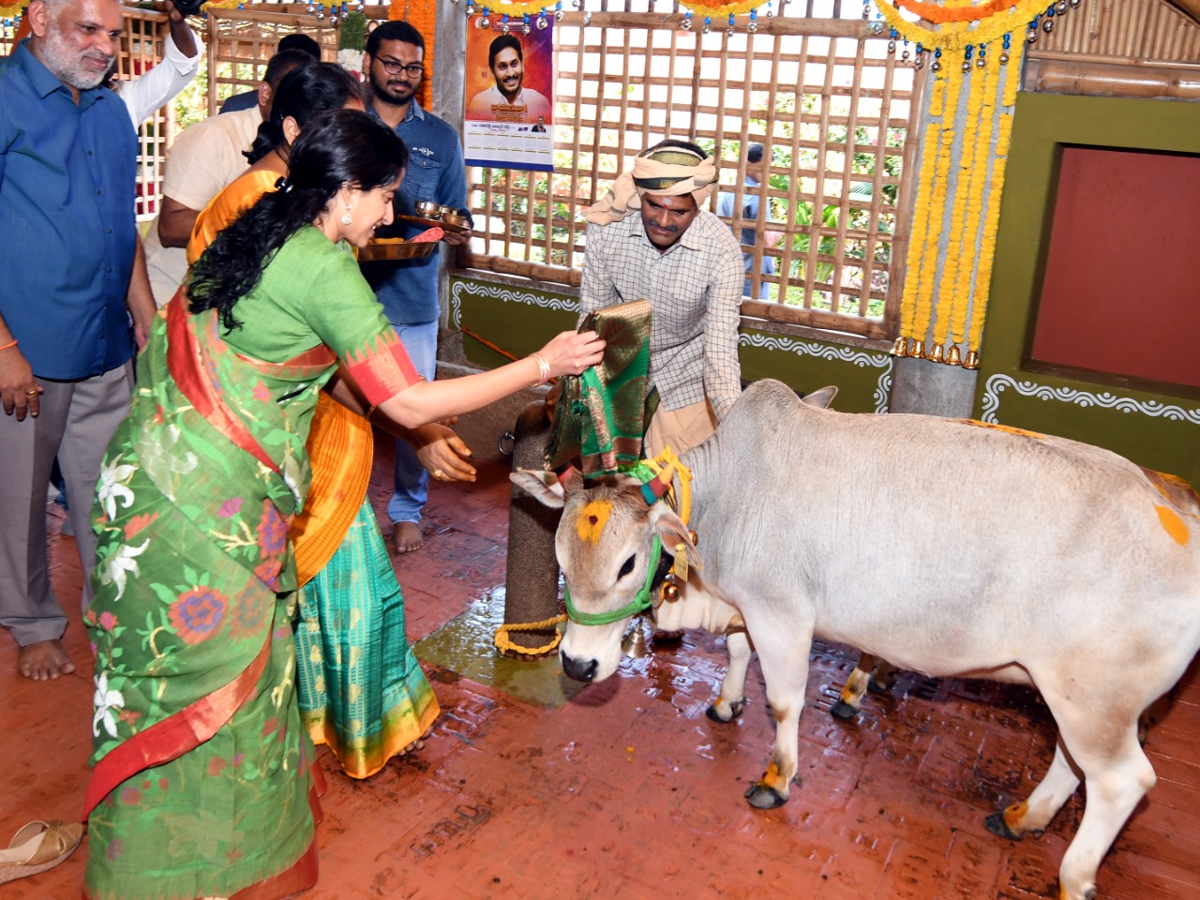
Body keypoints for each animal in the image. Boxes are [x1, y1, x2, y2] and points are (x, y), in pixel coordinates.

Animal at [516, 376, 1200, 900]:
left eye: (628, 564)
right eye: (559, 554)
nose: (576, 665)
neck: (727, 499)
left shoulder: (782, 614)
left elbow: (784, 701)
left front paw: (777, 777)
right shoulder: (747, 606)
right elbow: (736, 653)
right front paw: (725, 703)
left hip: (1095, 699)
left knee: (1120, 782)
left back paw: (1074, 875)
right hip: (1075, 696)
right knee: (1071, 759)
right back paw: (1022, 817)